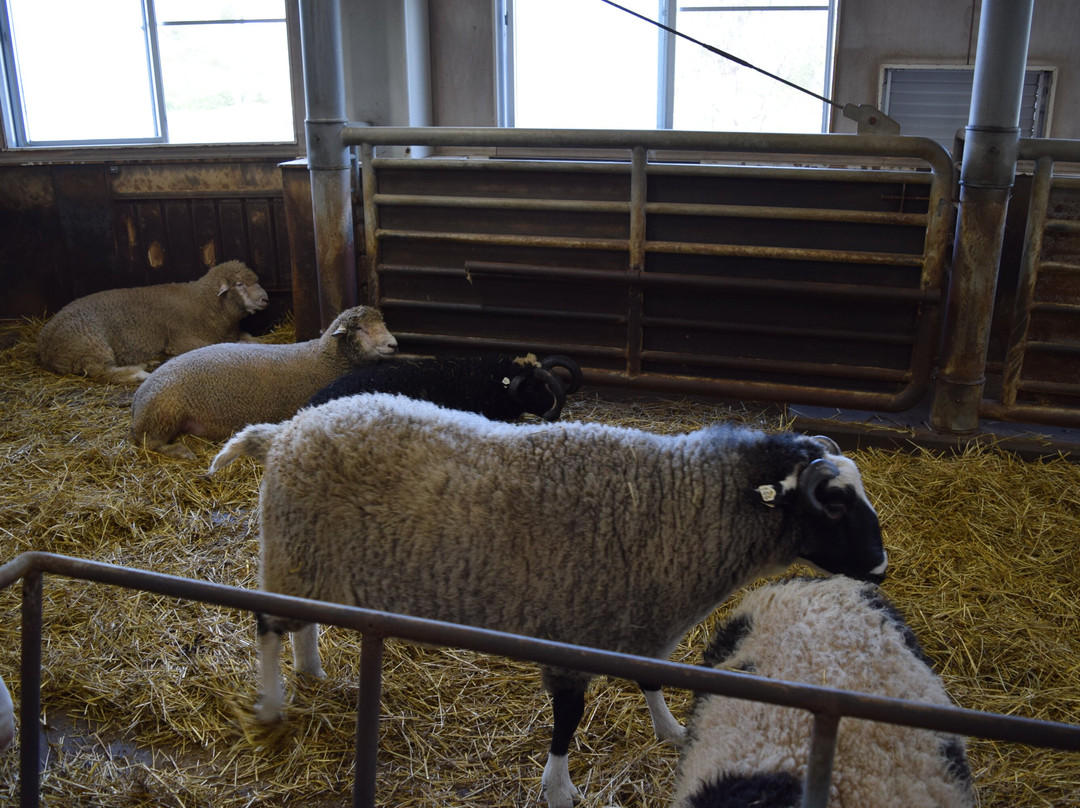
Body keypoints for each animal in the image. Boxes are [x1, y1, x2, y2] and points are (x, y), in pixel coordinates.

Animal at [37, 260, 269, 384]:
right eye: (239, 284)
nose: (265, 298)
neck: (204, 303)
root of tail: (44, 345)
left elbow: (251, 340)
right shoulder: (183, 340)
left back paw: (147, 363)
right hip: (90, 344)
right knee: (102, 371)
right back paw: (139, 372)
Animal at [130, 306, 397, 460]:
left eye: (383, 323)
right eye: (359, 328)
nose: (393, 344)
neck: (324, 359)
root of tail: (137, 400)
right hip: (163, 414)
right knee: (150, 443)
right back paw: (181, 452)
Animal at [209, 393, 888, 808]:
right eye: (833, 503)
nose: (881, 567)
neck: (678, 508)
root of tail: (287, 428)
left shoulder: (642, 623)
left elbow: (651, 679)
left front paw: (670, 729)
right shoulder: (569, 633)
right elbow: (567, 718)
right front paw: (558, 786)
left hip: (309, 561)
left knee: (303, 625)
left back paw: (313, 671)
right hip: (289, 550)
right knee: (266, 626)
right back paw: (272, 703)